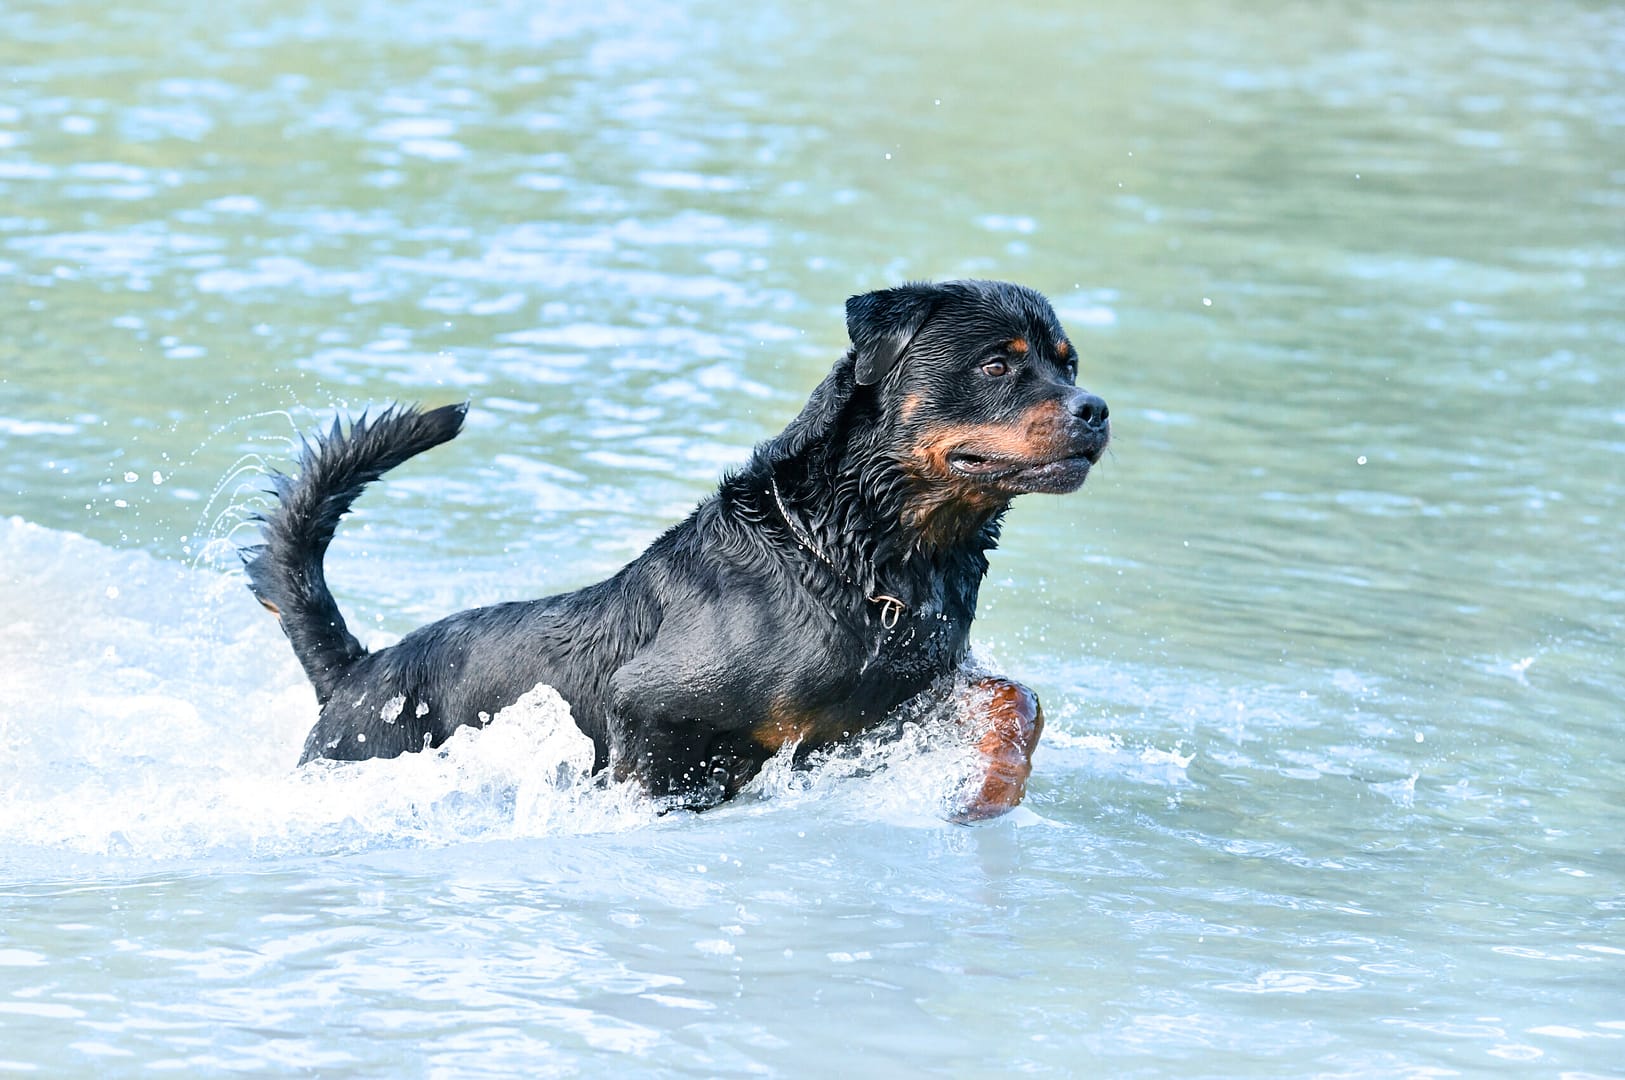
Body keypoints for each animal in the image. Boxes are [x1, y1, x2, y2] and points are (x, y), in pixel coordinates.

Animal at [243, 277, 1105, 818]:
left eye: (1067, 365)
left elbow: (1018, 702)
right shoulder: (652, 707)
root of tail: (358, 670)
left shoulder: (910, 696)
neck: (853, 551)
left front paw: (987, 796)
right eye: (995, 364)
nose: (1094, 408)